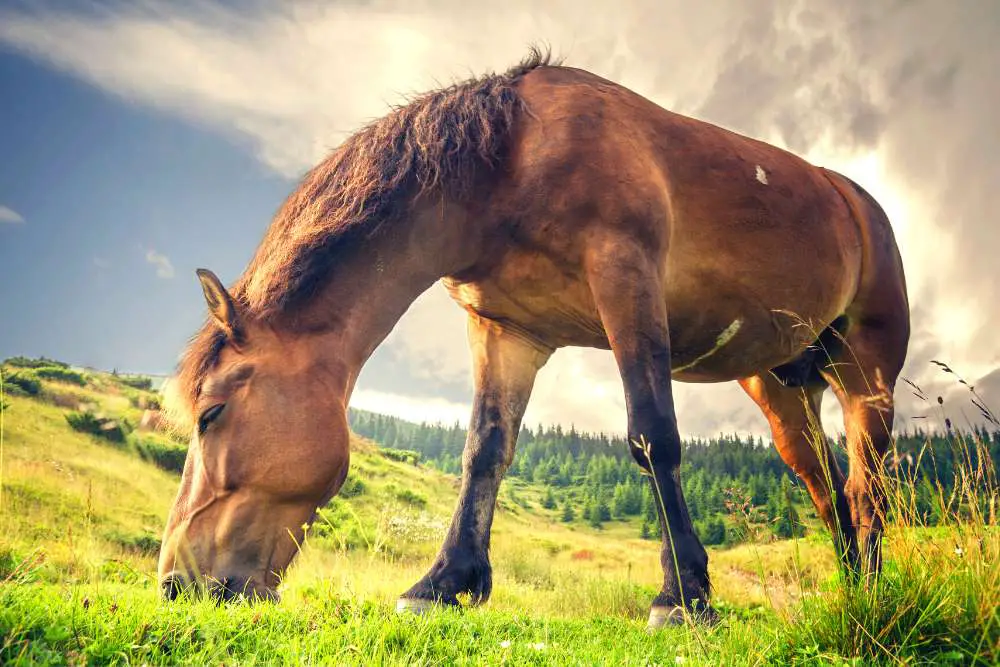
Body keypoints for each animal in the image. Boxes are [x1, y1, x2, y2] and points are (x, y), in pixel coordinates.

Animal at [154, 49, 908, 628]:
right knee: (826, 486)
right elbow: (483, 451)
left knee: (867, 484)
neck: (512, 160)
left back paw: (871, 594)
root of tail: (856, 202)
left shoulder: (626, 277)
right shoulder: (505, 329)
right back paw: (847, 590)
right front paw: (444, 583)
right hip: (781, 386)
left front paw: (683, 597)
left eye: (212, 414)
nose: (175, 584)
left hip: (865, 373)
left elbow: (653, 436)